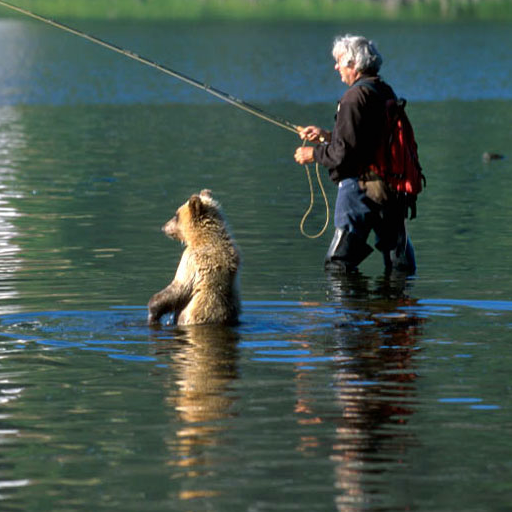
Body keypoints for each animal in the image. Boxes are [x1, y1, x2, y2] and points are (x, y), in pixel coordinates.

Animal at [147, 190, 241, 326]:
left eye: (176, 215)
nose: (164, 227)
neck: (201, 237)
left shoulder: (191, 259)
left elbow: (180, 286)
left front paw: (153, 309)